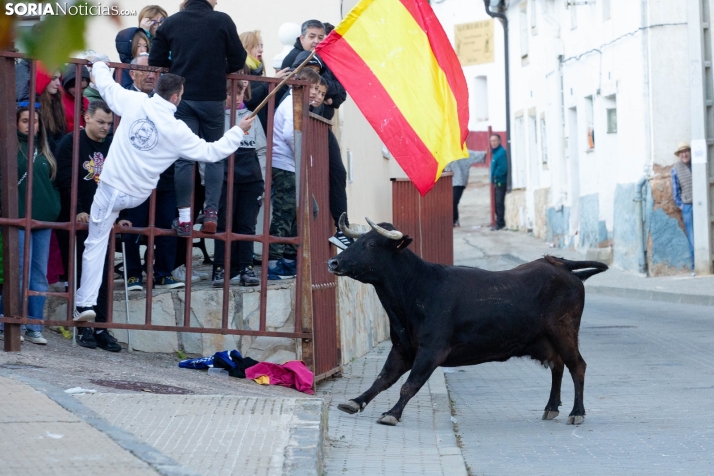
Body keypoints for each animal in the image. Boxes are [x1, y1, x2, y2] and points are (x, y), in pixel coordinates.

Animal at [328, 216, 608, 428]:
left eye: (372, 244)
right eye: (356, 241)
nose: (333, 262)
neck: (418, 287)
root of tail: (561, 265)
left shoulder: (432, 350)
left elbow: (409, 385)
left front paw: (392, 414)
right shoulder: (402, 348)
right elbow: (383, 378)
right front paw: (354, 402)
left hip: (564, 331)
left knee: (577, 366)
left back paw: (576, 413)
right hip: (546, 340)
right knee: (557, 365)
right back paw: (551, 408)